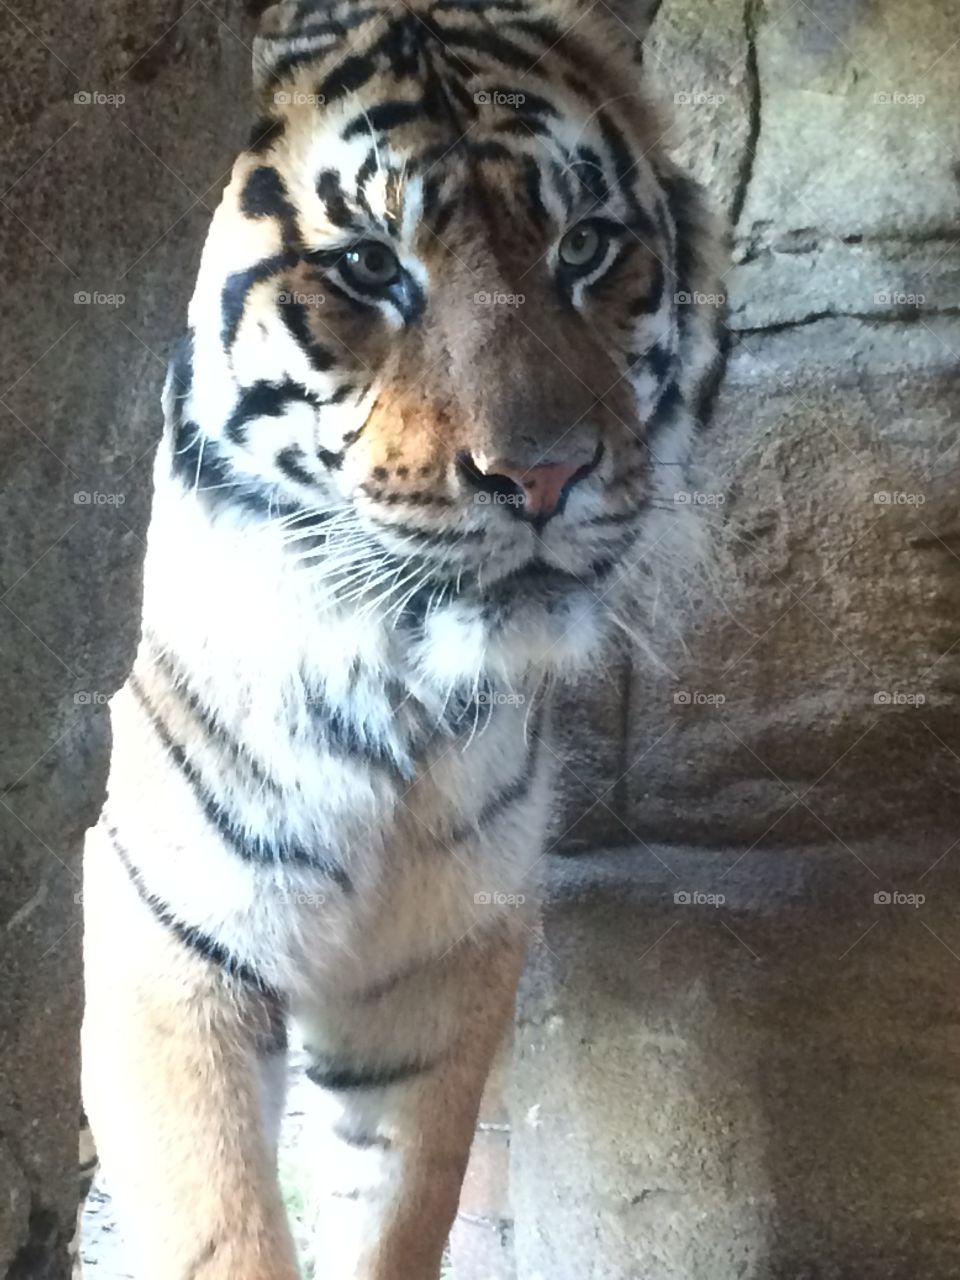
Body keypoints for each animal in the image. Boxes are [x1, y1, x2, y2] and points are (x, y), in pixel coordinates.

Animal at [82, 0, 727, 1274]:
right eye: (371, 267)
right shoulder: (164, 955)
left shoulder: (441, 958)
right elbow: (226, 1235)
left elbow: (406, 1207)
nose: (545, 476)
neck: (391, 707)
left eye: (585, 247)